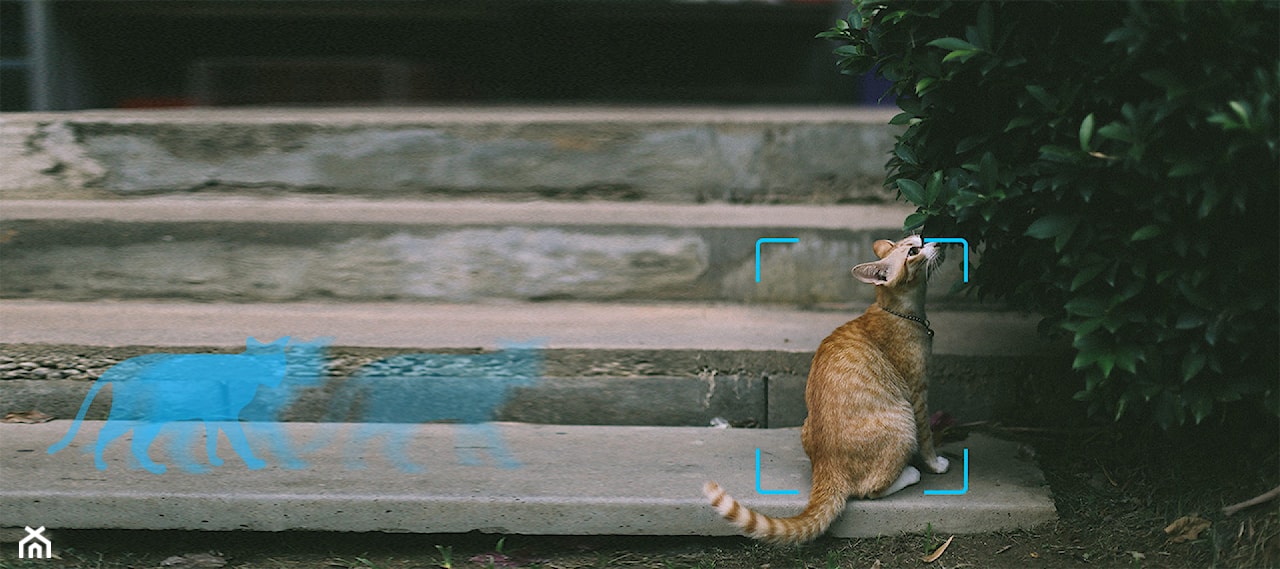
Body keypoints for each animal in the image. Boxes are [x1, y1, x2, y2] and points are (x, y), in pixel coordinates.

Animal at [706, 233, 947, 542]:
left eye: (921, 238)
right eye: (914, 251)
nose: (938, 243)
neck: (900, 311)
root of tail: (826, 467)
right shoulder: (918, 393)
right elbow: (928, 438)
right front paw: (935, 464)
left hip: (807, 423)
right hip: (903, 421)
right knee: (870, 490)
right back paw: (909, 473)